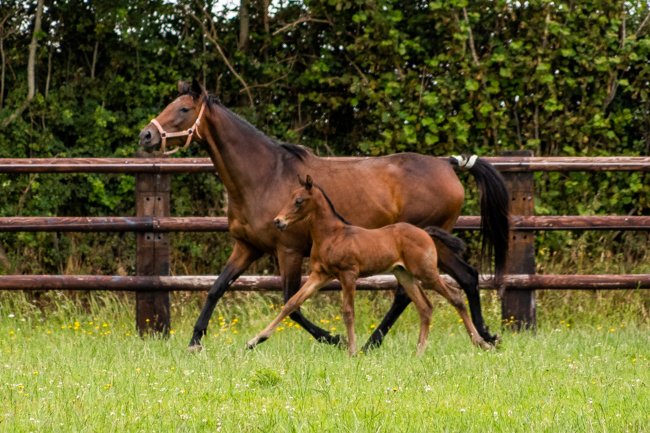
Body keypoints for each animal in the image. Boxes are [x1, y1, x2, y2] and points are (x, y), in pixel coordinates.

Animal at [246, 176, 488, 354]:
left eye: (298, 200)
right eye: (289, 197)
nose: (278, 221)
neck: (332, 235)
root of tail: (425, 232)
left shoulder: (349, 274)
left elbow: (348, 311)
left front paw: (352, 350)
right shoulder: (319, 275)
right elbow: (292, 303)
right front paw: (254, 341)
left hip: (426, 272)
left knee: (455, 296)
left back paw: (481, 342)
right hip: (404, 275)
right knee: (425, 307)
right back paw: (419, 352)